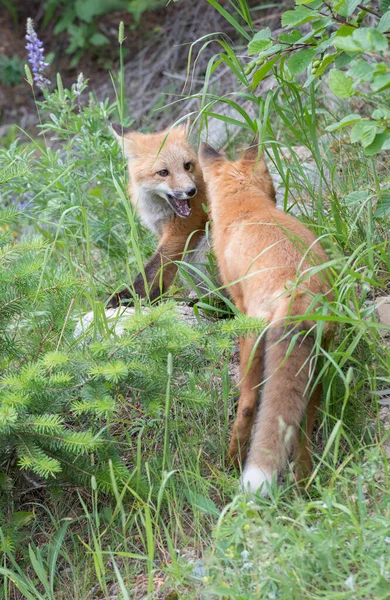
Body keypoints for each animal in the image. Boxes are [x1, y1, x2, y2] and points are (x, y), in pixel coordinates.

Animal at [111, 125, 209, 308]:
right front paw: (154, 298)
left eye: (187, 165)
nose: (191, 190)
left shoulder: (179, 232)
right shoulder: (163, 234)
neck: (160, 212)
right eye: (163, 172)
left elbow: (151, 270)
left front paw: (128, 296)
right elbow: (162, 272)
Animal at [200, 142, 334, 496]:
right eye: (274, 188)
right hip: (317, 367)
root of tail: (297, 288)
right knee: (303, 425)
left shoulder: (238, 301)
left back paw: (231, 464)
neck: (247, 209)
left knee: (248, 404)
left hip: (252, 341)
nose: (276, 197)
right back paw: (303, 487)